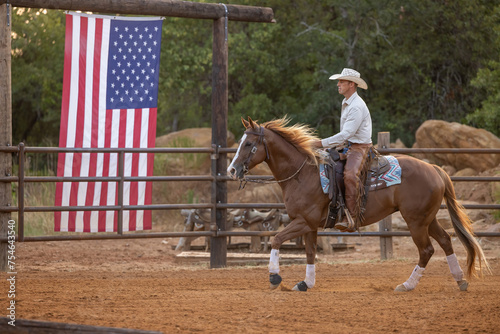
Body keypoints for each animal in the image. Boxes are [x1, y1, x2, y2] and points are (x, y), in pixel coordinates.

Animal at [229, 117, 490, 292]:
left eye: (248, 144)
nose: (231, 170)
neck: (303, 174)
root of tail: (435, 169)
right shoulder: (309, 225)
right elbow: (311, 252)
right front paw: (306, 283)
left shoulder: (303, 221)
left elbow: (276, 239)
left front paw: (274, 278)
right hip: (427, 218)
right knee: (445, 241)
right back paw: (460, 280)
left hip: (416, 221)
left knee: (426, 250)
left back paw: (407, 285)